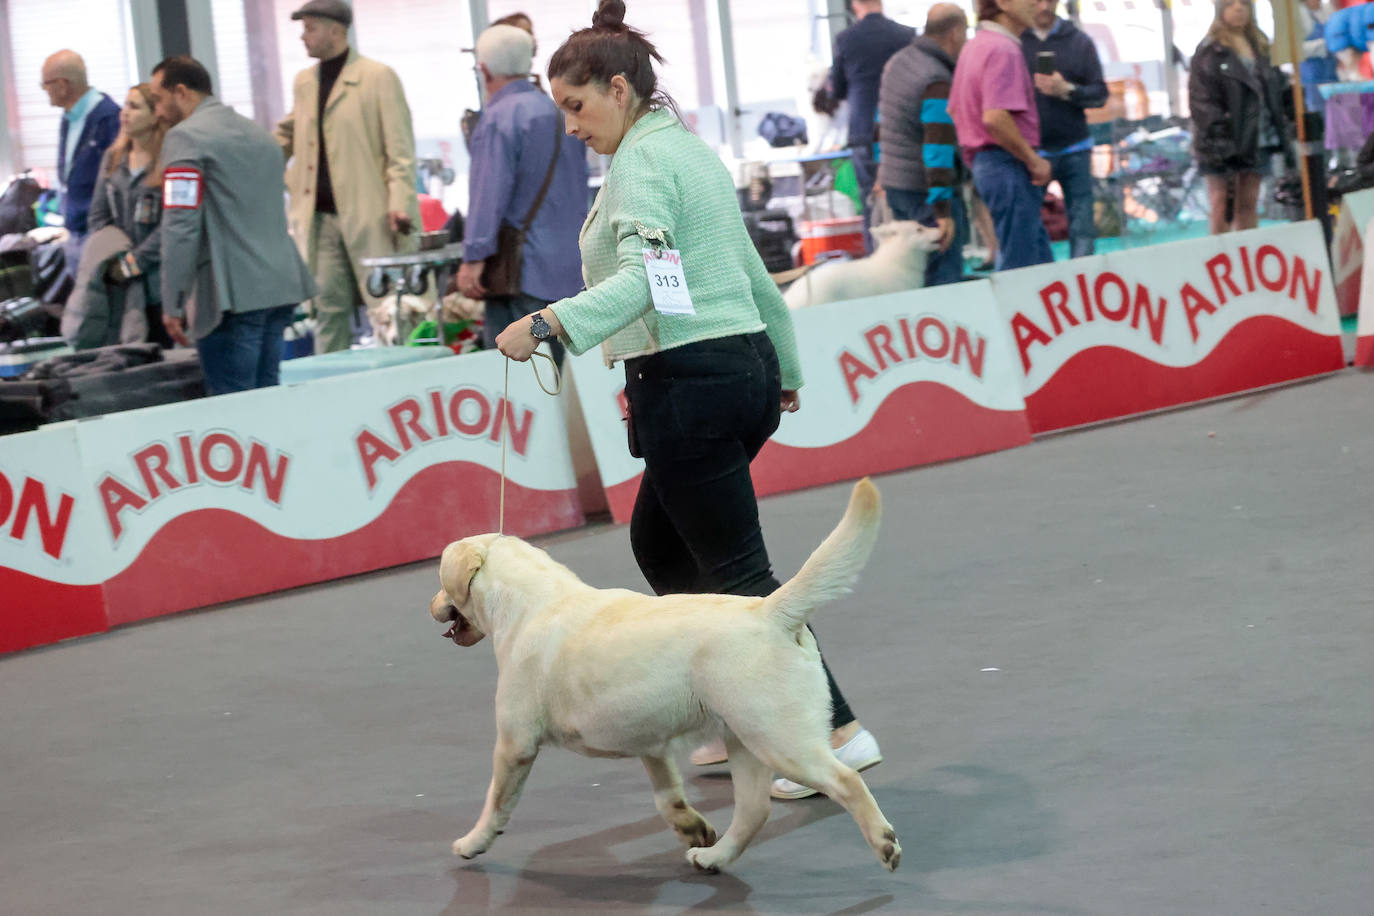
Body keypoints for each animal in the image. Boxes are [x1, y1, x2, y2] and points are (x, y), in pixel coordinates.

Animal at [428, 480, 901, 873]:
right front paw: (693, 829)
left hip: (779, 740)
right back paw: (712, 857)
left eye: (441, 580)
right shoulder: (649, 744)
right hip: (744, 739)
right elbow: (666, 797)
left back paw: (884, 843)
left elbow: (495, 802)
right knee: (753, 812)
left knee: (845, 781)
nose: (431, 605)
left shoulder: (515, 745)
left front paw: (472, 843)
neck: (531, 603)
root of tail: (769, 611)